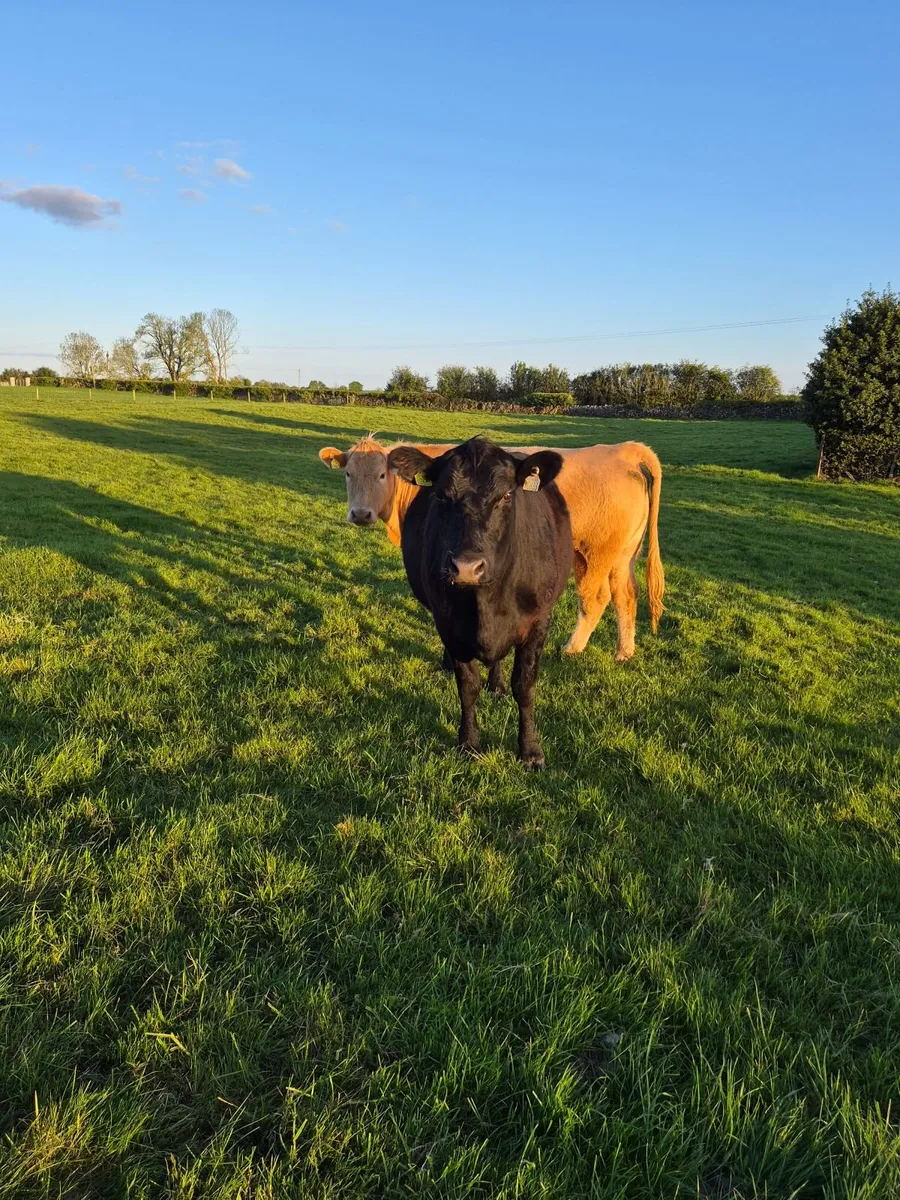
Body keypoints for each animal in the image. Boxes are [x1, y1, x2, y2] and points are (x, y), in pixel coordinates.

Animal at [319, 434, 664, 661]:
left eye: (380, 474)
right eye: (348, 474)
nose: (360, 514)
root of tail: (622, 451)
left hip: (595, 554)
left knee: (596, 598)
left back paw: (571, 648)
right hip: (622, 555)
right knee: (625, 596)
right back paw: (624, 652)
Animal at [387, 437, 572, 768]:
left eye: (507, 495)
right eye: (441, 495)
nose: (467, 567)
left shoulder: (539, 621)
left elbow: (525, 686)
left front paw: (530, 750)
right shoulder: (448, 622)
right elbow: (467, 685)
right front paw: (470, 742)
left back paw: (496, 684)